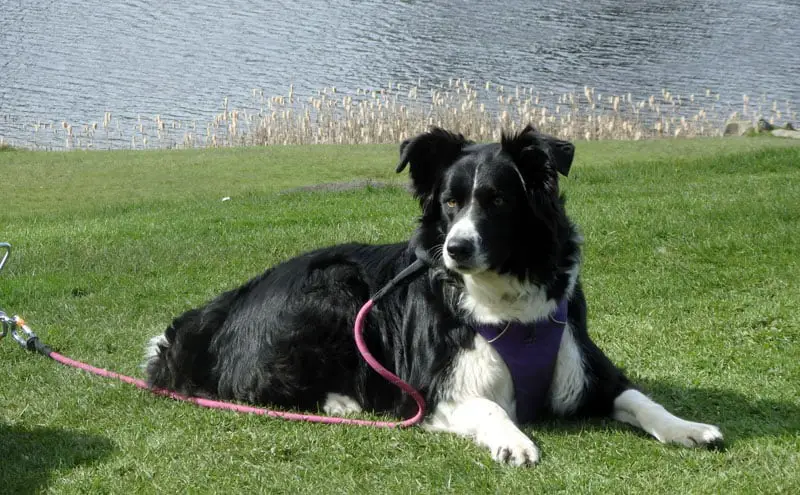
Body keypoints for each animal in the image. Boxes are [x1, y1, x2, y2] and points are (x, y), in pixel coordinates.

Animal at [145, 126, 724, 466]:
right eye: (449, 201)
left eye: (498, 200)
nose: (456, 248)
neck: (503, 300)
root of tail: (217, 313)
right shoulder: (431, 388)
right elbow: (488, 408)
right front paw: (514, 439)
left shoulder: (584, 368)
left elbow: (640, 398)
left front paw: (688, 428)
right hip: (334, 290)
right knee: (256, 386)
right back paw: (343, 400)